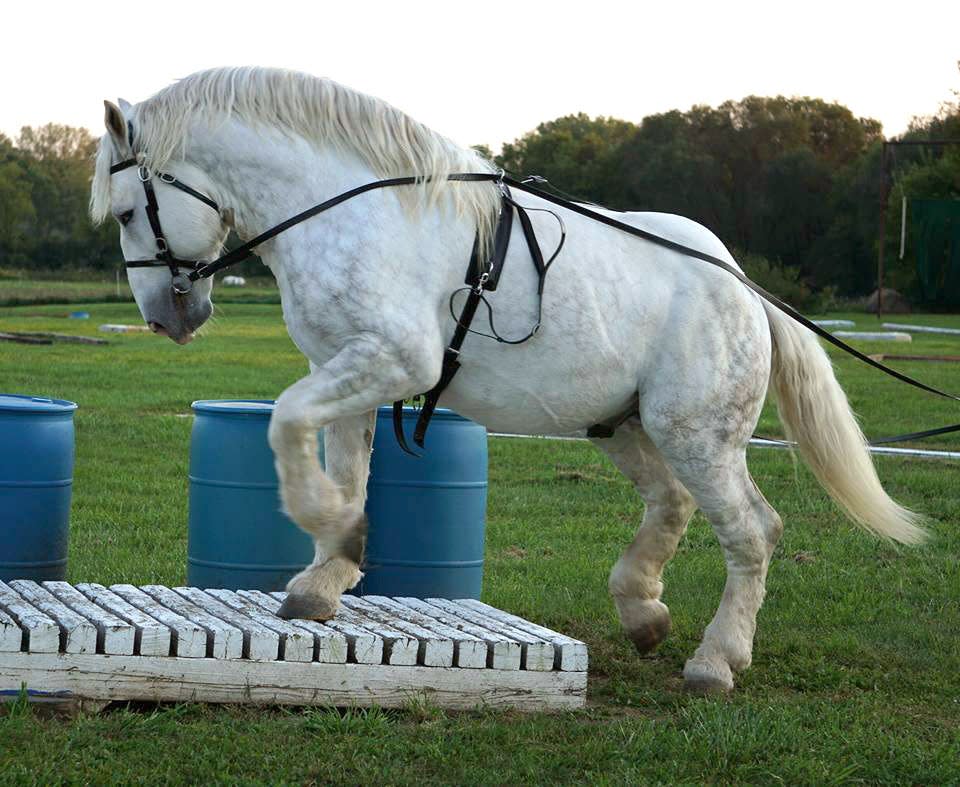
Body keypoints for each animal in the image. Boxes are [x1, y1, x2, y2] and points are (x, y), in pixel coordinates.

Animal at [92, 69, 924, 696]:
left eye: (131, 211)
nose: (166, 317)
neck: (347, 209)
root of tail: (744, 286)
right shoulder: (347, 366)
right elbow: (340, 461)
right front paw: (328, 572)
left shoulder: (394, 359)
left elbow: (285, 423)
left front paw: (328, 532)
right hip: (623, 425)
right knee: (673, 504)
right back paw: (643, 610)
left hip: (697, 433)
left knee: (752, 530)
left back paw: (716, 659)